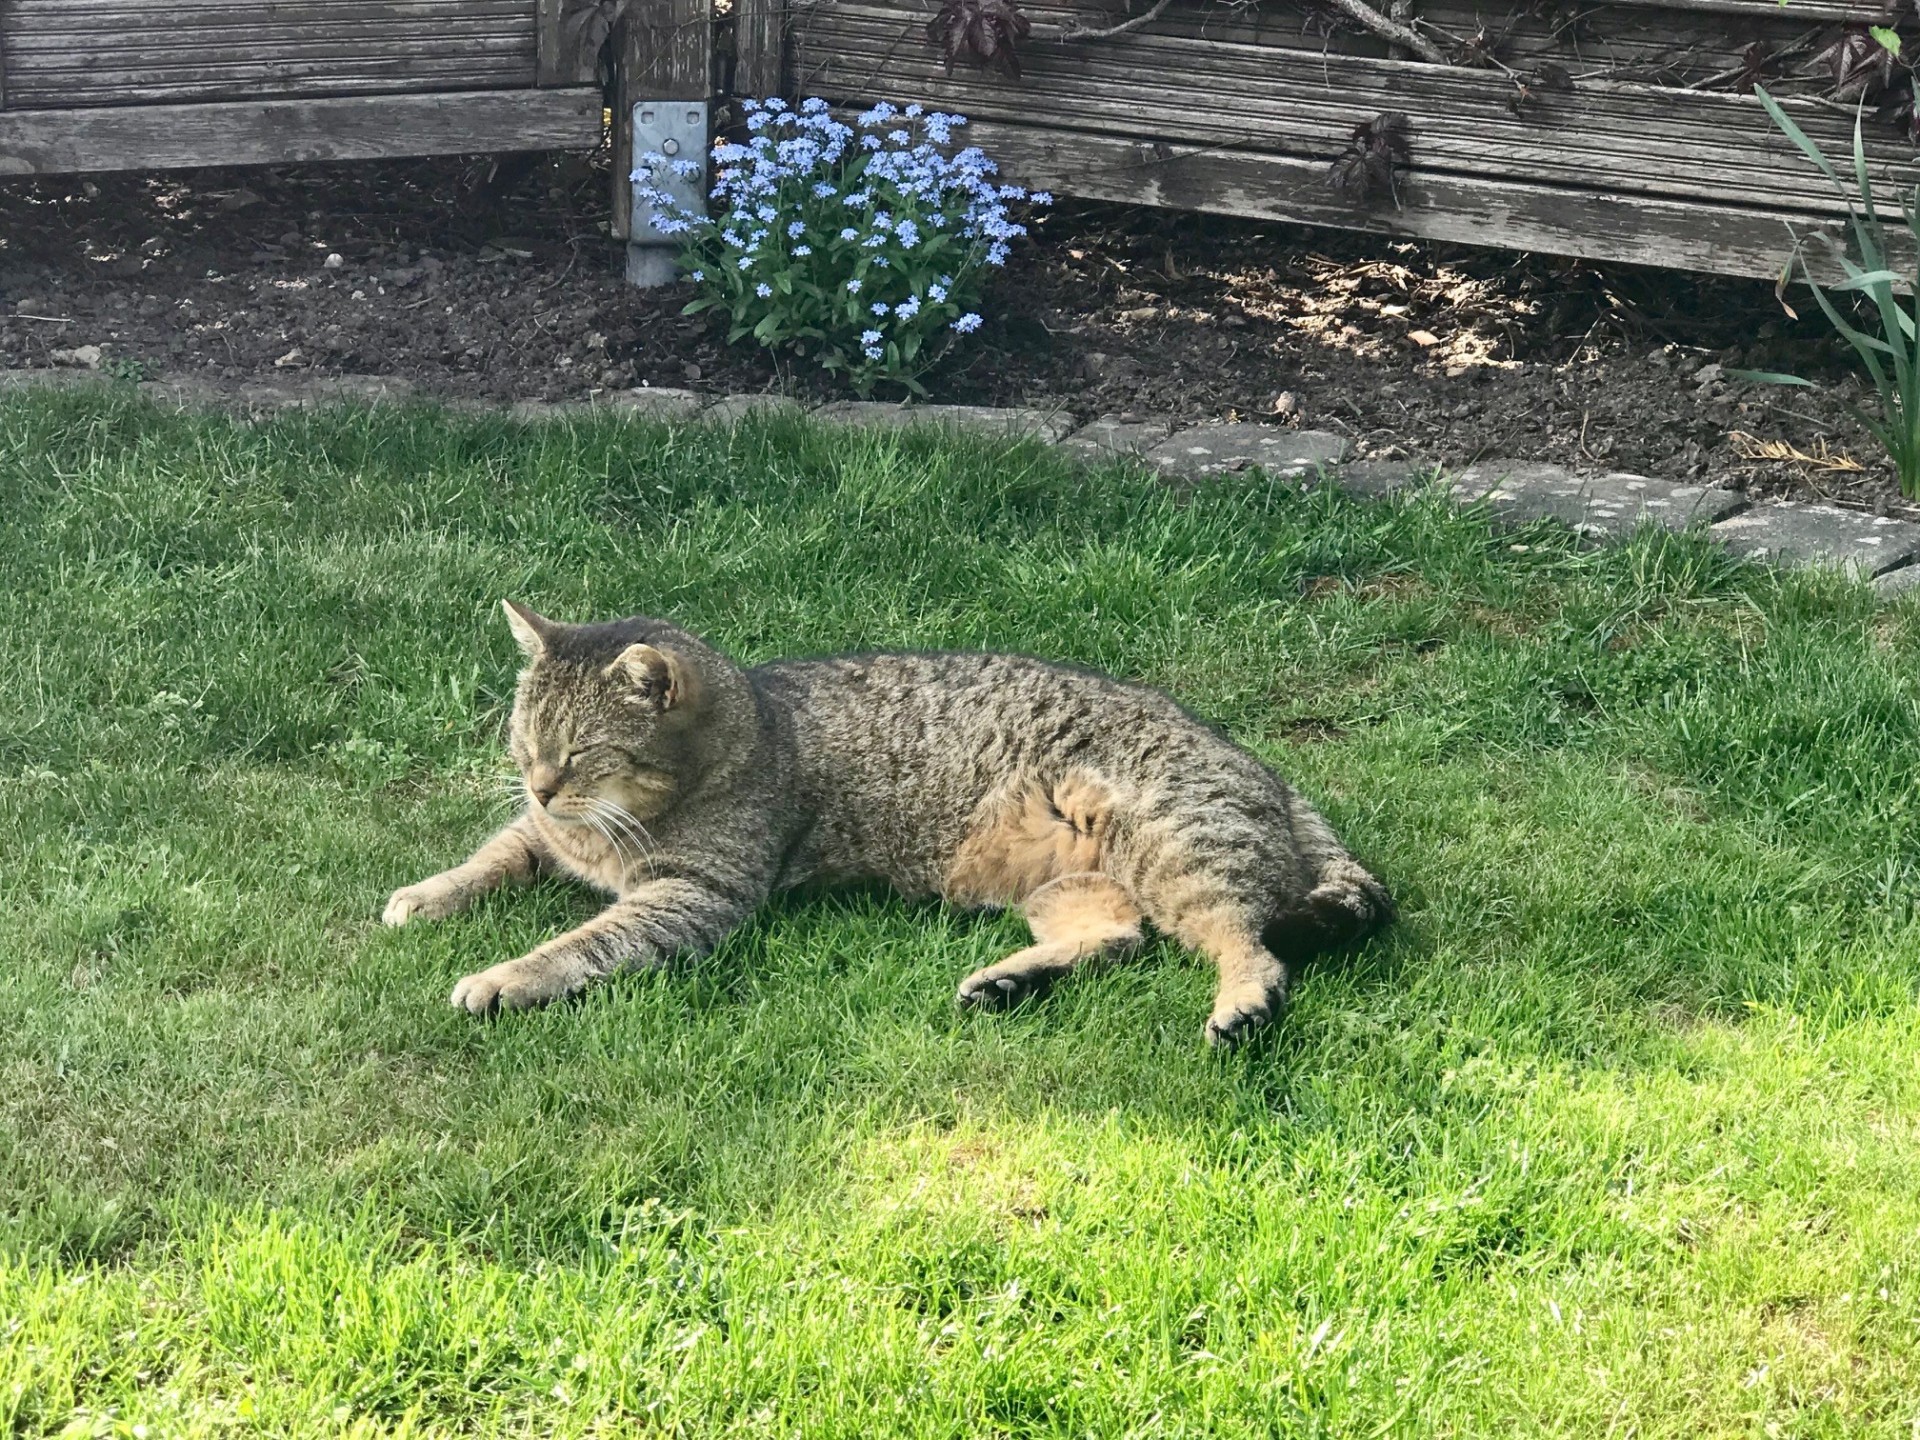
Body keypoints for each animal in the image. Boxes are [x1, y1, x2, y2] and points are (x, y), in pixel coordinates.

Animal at [383, 602, 1391, 1047]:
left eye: (583, 751)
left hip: (1180, 848)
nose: (540, 784)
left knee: (1249, 941)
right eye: (522, 741)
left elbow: (580, 942)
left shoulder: (689, 897)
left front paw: (505, 977)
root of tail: (1264, 768)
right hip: (1073, 884)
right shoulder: (539, 837)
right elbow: (490, 856)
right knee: (1119, 938)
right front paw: (428, 894)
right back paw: (1009, 981)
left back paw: (1241, 1001)